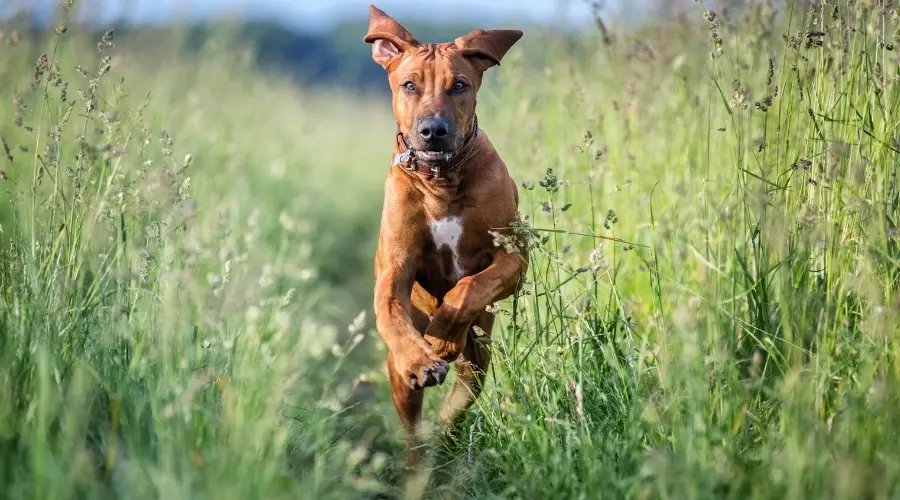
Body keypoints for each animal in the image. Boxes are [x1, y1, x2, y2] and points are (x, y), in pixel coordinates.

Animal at [364, 4, 528, 464]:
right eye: (409, 85)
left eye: (459, 85)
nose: (433, 131)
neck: (441, 180)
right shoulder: (395, 272)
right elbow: (391, 311)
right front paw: (423, 357)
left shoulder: (515, 259)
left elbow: (468, 288)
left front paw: (442, 339)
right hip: (400, 381)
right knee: (412, 430)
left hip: (480, 359)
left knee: (460, 396)